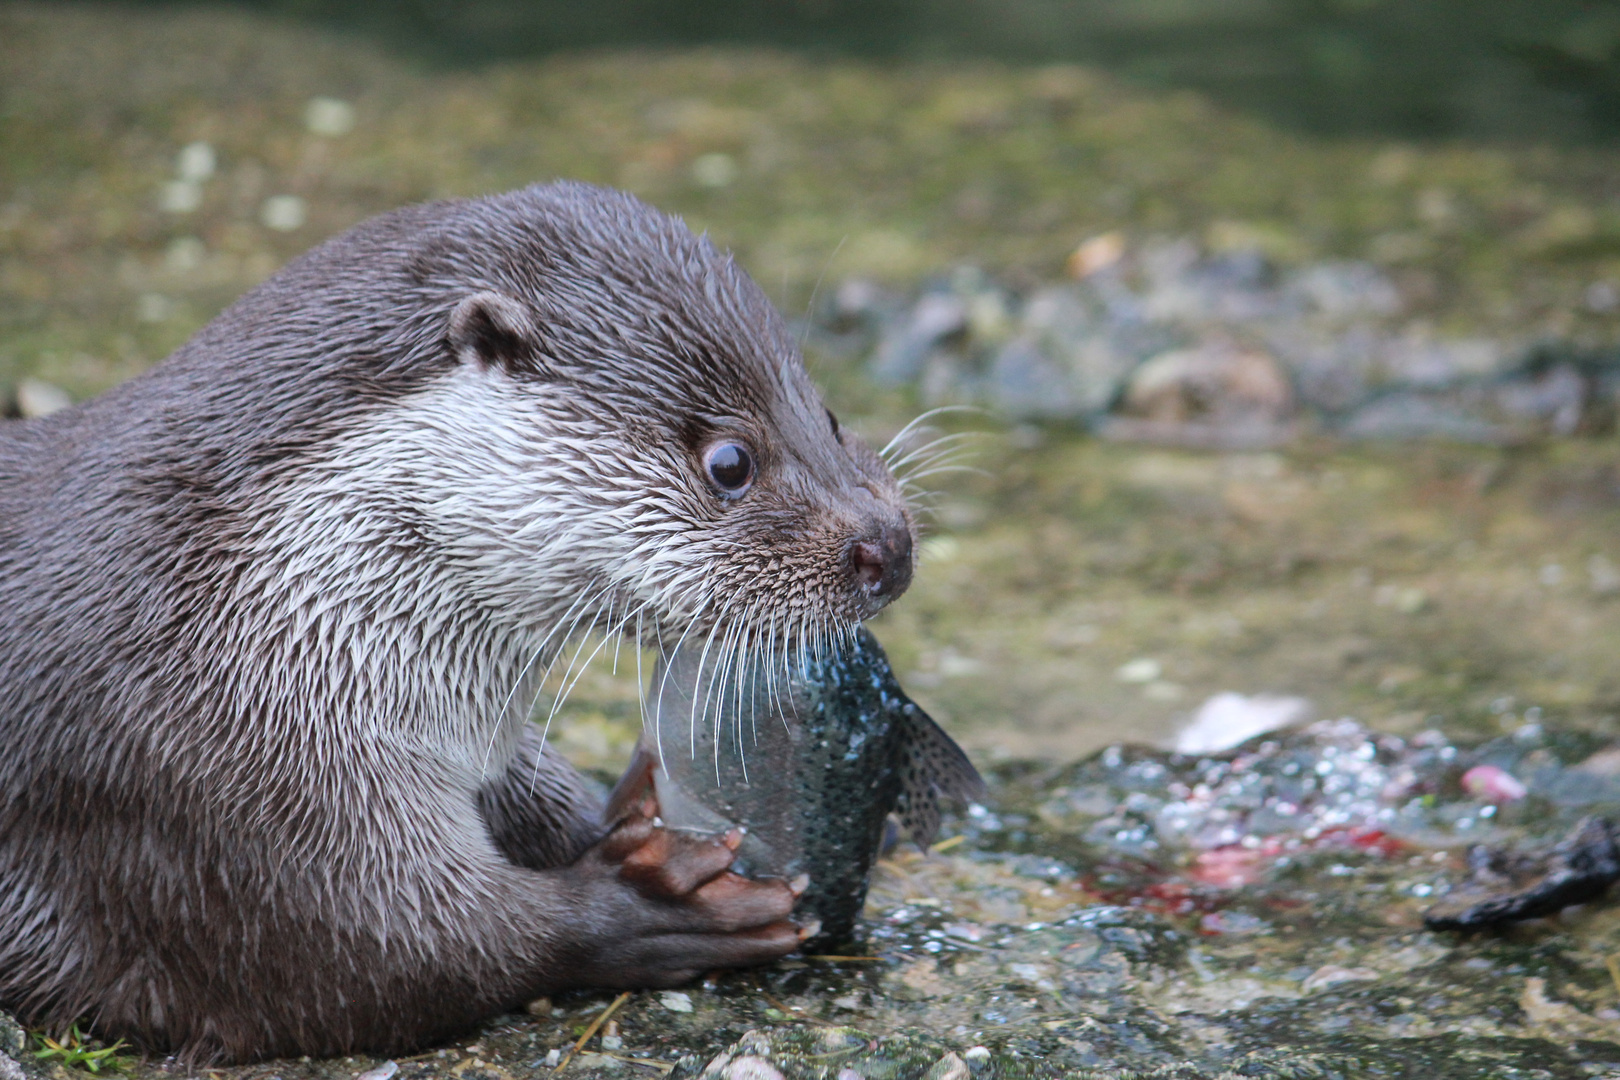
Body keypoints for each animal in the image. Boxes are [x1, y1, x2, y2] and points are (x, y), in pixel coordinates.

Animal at [0, 183, 913, 1062]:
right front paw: (652, 900)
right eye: (729, 462)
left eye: (827, 416)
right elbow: (400, 948)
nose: (890, 547)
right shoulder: (195, 779)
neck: (243, 592)